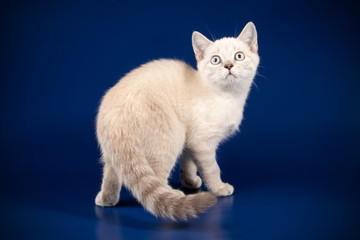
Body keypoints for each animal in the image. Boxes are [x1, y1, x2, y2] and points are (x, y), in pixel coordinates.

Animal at [95, 21, 258, 220]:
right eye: (216, 60)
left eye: (239, 56)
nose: (228, 65)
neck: (229, 96)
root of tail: (115, 114)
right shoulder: (201, 142)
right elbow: (211, 169)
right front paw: (219, 188)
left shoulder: (190, 139)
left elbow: (188, 163)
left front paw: (190, 182)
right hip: (172, 137)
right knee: (155, 176)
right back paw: (172, 193)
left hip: (117, 153)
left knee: (112, 174)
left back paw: (106, 200)